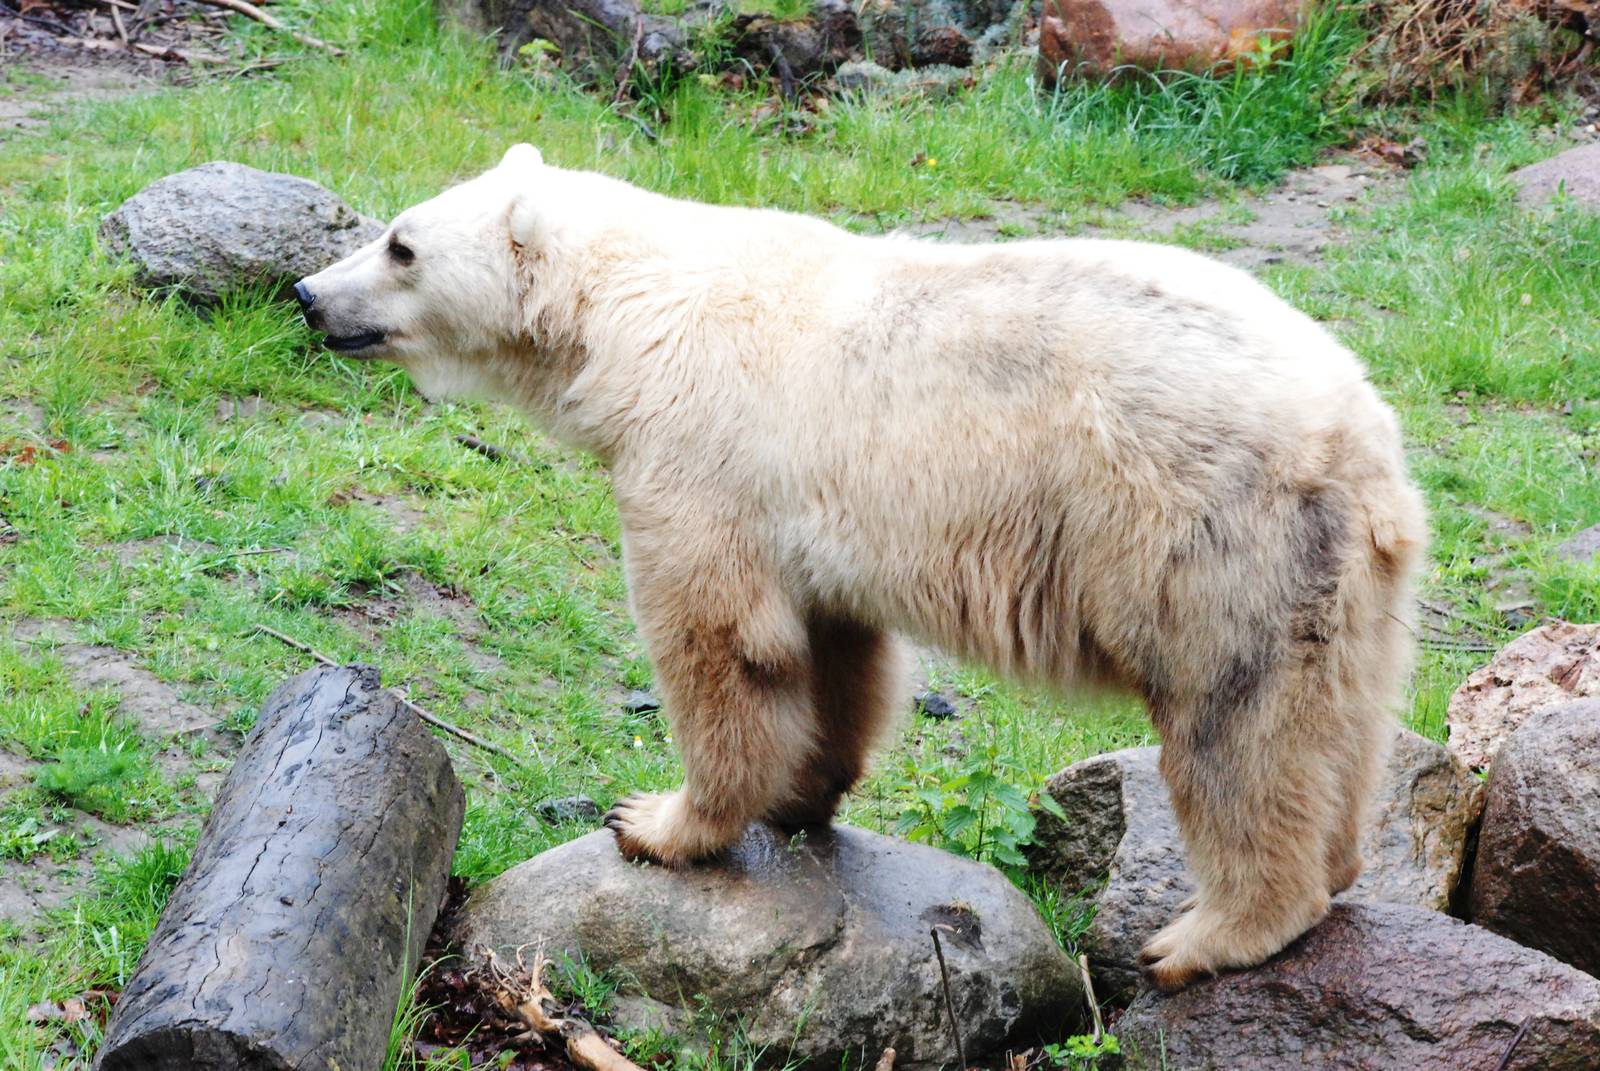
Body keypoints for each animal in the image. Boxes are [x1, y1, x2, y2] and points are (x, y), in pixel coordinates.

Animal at [294, 144, 1427, 990]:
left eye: (400, 244)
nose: (307, 294)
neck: (625, 305)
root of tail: (1362, 434)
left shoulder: (700, 450)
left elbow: (716, 637)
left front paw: (661, 823)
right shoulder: (814, 507)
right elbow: (835, 649)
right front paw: (803, 792)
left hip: (1203, 536)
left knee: (1234, 729)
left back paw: (1207, 934)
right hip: (1343, 577)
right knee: (1340, 716)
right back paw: (1337, 862)